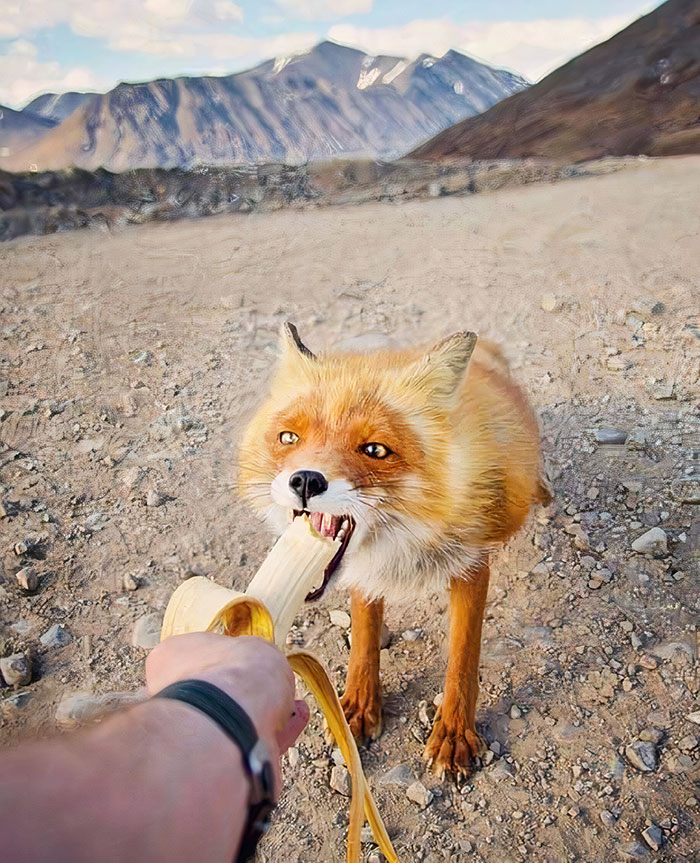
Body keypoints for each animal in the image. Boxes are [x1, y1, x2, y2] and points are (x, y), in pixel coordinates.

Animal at [238, 322, 551, 778]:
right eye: (289, 437)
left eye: (375, 450)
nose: (306, 480)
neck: (402, 543)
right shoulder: (363, 574)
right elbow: (364, 634)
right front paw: (357, 706)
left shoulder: (472, 564)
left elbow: (462, 657)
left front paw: (454, 733)